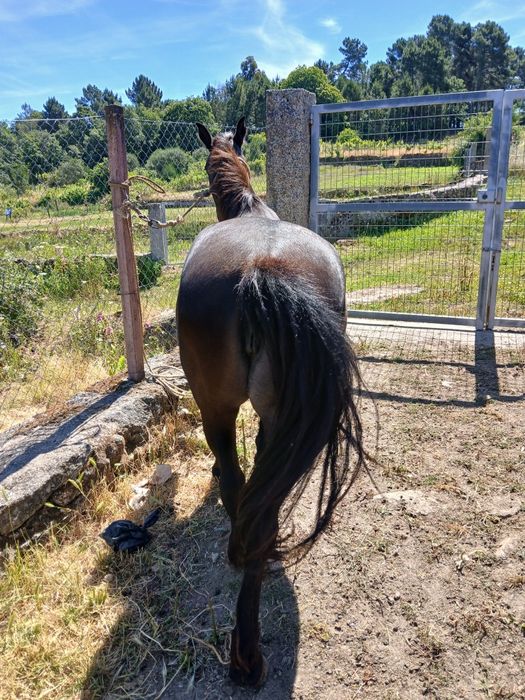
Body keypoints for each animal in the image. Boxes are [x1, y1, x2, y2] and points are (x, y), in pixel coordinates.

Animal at [176, 117, 366, 686]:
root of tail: (263, 269)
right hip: (285, 413)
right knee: (261, 497)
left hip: (214, 407)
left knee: (236, 482)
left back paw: (244, 650)